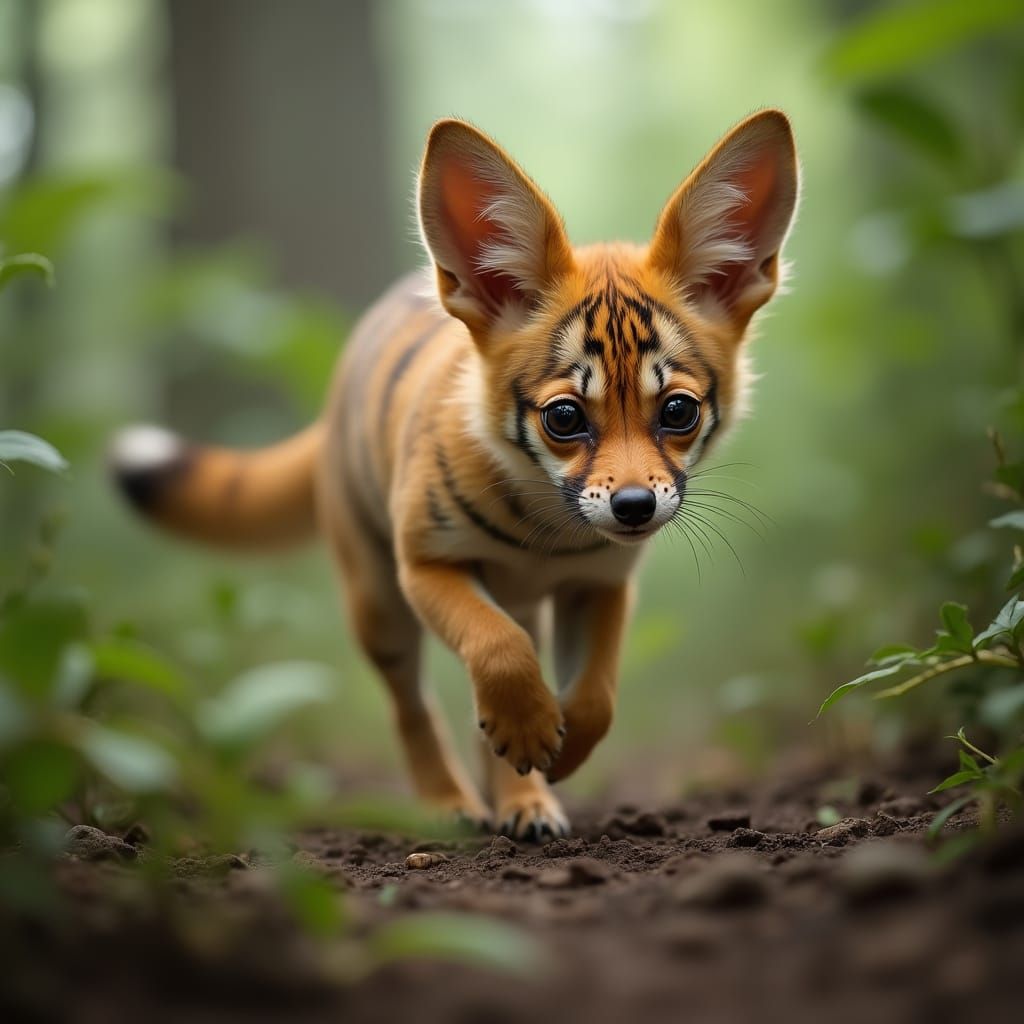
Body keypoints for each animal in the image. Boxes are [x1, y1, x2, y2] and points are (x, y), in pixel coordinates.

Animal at [111, 110, 798, 840]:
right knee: (413, 707)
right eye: (563, 417)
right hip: (377, 604)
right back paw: (449, 803)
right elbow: (496, 647)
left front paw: (552, 755)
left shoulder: (601, 585)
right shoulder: (426, 566)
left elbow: (594, 696)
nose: (637, 506)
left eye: (678, 411)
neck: (546, 532)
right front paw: (530, 736)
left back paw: (525, 800)